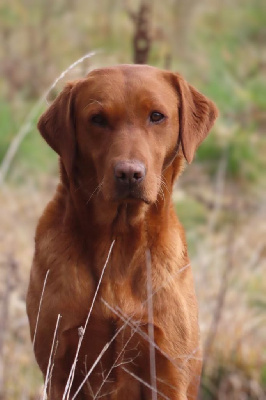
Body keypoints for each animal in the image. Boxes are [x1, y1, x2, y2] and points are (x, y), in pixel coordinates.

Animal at [27, 64, 218, 398]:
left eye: (156, 116)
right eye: (97, 119)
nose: (129, 173)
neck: (118, 242)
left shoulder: (168, 373)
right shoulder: (59, 368)